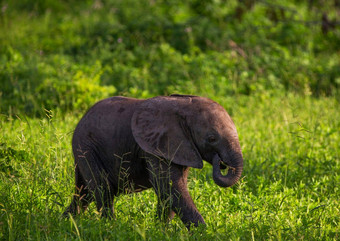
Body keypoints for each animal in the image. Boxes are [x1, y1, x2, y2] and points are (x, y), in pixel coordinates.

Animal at [63, 93, 243, 228]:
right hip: (86, 146)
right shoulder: (155, 146)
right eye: (211, 138)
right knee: (102, 188)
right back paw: (110, 227)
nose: (220, 161)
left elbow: (170, 189)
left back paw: (65, 222)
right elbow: (169, 187)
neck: (184, 107)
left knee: (83, 192)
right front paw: (205, 233)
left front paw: (160, 230)